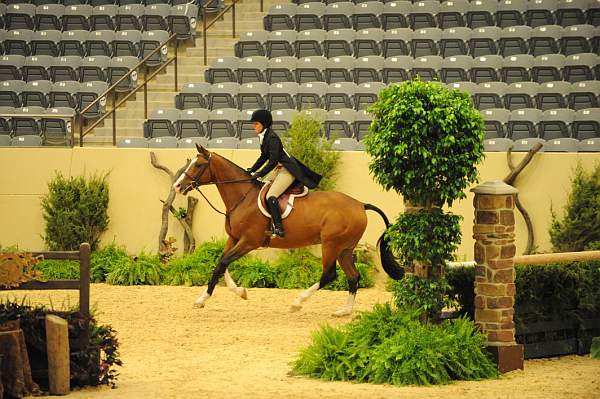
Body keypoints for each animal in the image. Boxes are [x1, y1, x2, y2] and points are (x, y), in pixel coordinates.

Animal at [173, 145, 406, 318]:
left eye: (198, 165)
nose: (177, 186)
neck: (243, 197)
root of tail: (360, 205)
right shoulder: (234, 239)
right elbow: (221, 265)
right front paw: (236, 293)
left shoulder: (249, 242)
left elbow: (222, 263)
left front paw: (204, 299)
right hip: (345, 249)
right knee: (353, 277)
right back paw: (344, 311)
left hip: (332, 245)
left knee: (329, 274)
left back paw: (297, 302)